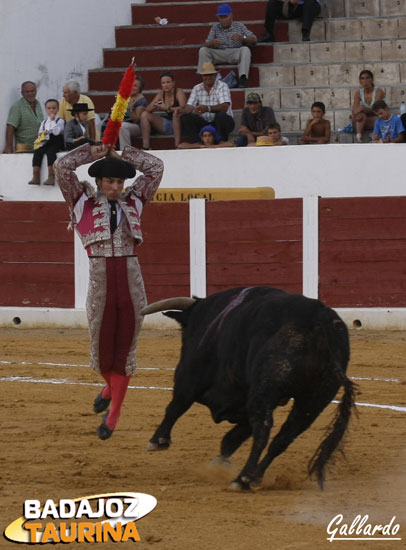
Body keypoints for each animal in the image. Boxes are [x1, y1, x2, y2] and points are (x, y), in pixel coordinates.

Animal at [142, 288, 356, 492]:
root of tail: (321, 318)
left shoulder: (190, 375)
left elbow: (176, 405)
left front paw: (158, 441)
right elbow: (234, 436)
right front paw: (219, 462)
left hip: (266, 388)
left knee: (263, 428)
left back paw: (242, 480)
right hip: (314, 399)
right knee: (283, 438)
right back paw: (254, 477)